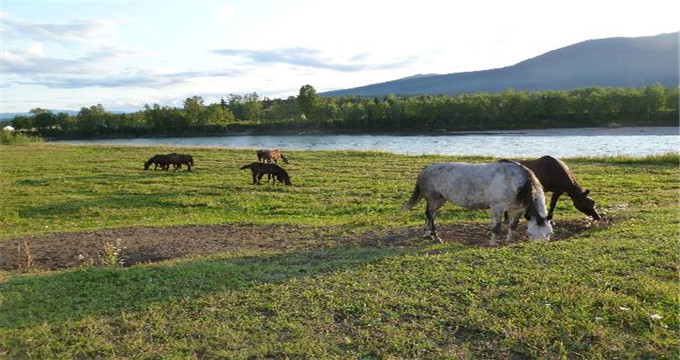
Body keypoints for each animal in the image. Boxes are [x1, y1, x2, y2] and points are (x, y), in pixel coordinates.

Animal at [404, 161, 552, 248]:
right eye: (532, 232)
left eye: (550, 233)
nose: (540, 245)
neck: (517, 182)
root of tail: (424, 170)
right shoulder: (497, 208)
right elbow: (496, 227)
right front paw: (493, 243)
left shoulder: (518, 209)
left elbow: (513, 225)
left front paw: (509, 240)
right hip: (433, 199)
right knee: (430, 215)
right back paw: (436, 238)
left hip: (440, 199)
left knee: (429, 214)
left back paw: (427, 234)